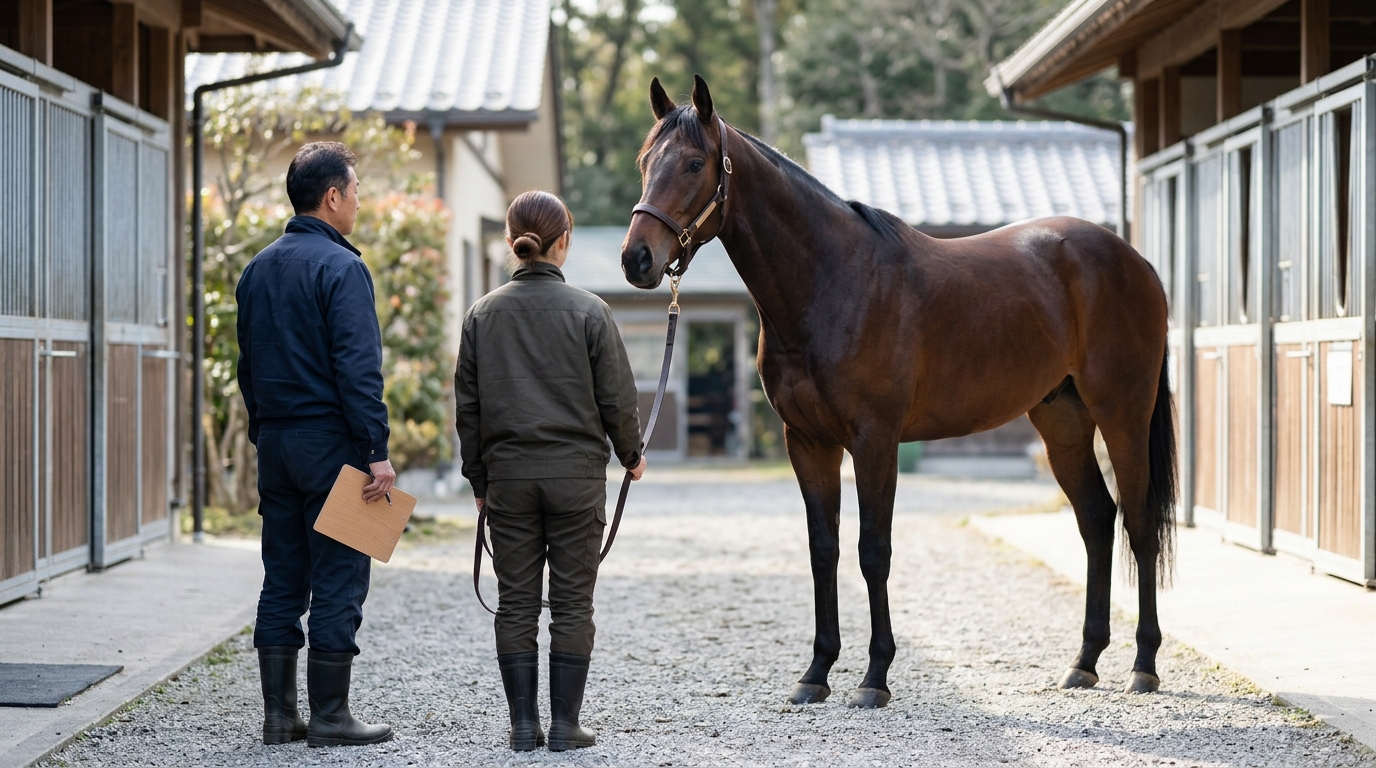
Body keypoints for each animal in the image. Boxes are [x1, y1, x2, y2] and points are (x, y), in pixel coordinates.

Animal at [621, 75, 1177, 709]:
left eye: (694, 163)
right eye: (645, 162)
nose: (637, 259)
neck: (832, 281)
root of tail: (1136, 262)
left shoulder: (875, 441)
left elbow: (873, 550)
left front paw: (874, 677)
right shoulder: (807, 441)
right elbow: (824, 550)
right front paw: (816, 673)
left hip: (1122, 413)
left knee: (1138, 522)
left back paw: (1143, 666)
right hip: (1062, 421)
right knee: (1097, 520)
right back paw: (1084, 662)